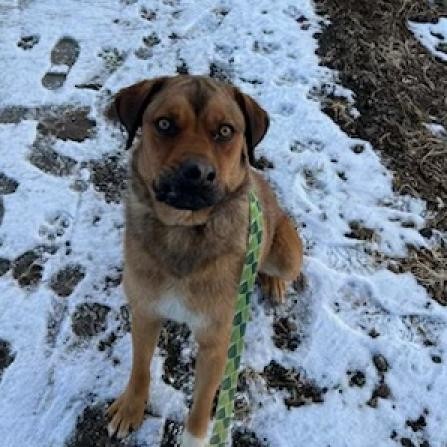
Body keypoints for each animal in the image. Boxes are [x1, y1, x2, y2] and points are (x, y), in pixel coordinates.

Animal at [107, 75, 304, 446]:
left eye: (225, 131)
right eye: (165, 124)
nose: (196, 173)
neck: (184, 232)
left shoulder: (217, 340)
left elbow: (201, 403)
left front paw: (194, 438)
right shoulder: (145, 311)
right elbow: (140, 368)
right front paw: (130, 408)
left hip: (287, 253)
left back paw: (273, 282)